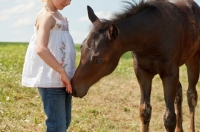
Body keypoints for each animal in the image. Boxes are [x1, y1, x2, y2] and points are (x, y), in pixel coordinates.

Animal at [71, 0, 200, 131]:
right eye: (81, 48)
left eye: (98, 60)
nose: (74, 88)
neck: (153, 35)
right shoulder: (142, 72)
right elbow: (145, 111)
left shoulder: (169, 74)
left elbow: (169, 118)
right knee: (179, 91)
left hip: (193, 60)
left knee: (191, 95)